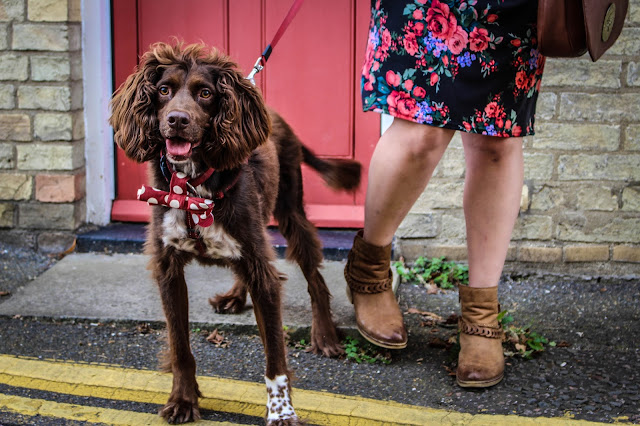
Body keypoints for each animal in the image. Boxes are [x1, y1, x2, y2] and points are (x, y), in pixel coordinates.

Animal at [110, 41, 360, 424]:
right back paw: (235, 296)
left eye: (206, 93)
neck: (191, 187)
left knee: (315, 278)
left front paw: (281, 412)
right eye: (164, 89)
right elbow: (180, 346)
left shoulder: (262, 273)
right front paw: (183, 400)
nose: (177, 120)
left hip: (290, 210)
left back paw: (325, 335)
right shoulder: (168, 270)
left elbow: (275, 356)